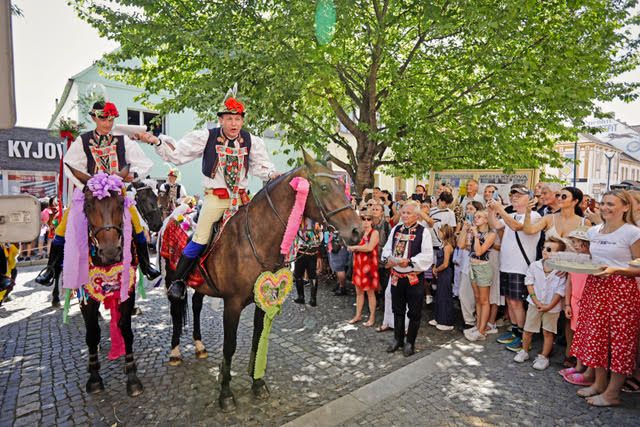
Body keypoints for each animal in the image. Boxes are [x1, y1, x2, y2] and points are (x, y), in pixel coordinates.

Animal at [69, 165, 146, 398]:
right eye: (87, 205)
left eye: (120, 203)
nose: (111, 252)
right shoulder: (86, 296)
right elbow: (92, 333)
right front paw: (94, 377)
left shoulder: (127, 289)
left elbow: (126, 328)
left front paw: (132, 375)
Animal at [164, 152, 364, 412]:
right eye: (324, 187)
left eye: (342, 185)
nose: (357, 231)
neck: (253, 239)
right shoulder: (232, 304)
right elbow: (230, 345)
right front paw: (225, 393)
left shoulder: (263, 300)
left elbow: (257, 337)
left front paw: (257, 382)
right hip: (172, 277)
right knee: (176, 308)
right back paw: (175, 351)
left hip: (202, 285)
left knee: (197, 306)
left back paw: (199, 346)